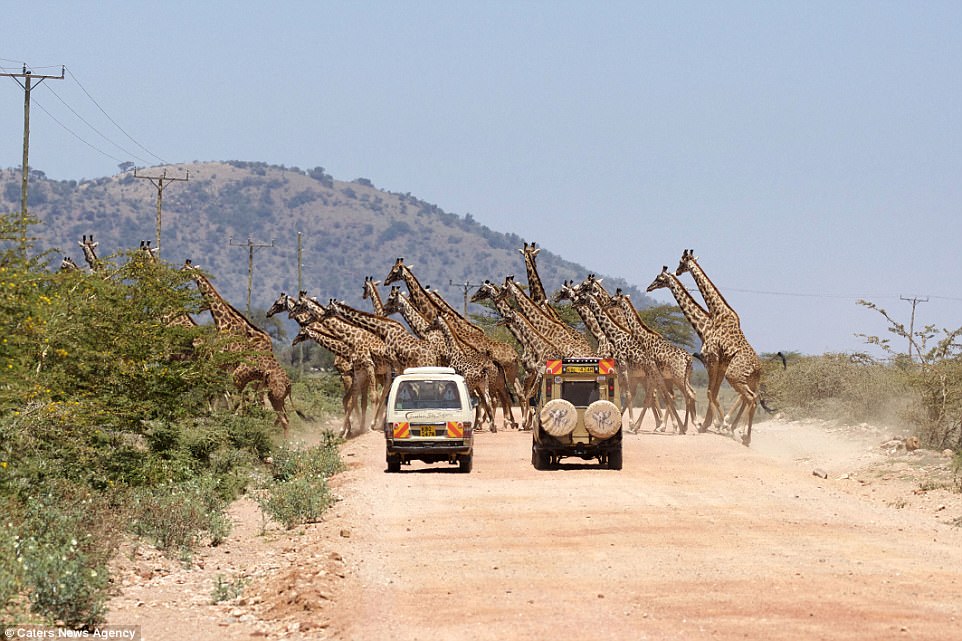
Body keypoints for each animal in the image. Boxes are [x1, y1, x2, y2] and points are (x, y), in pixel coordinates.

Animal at [182, 260, 290, 436]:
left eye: (184, 269)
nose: (198, 308)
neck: (224, 324)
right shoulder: (224, 363)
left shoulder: (222, 360)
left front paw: (216, 411)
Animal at [672, 250, 760, 444]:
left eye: (681, 261)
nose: (677, 271)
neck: (717, 312)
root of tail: (758, 367)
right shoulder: (717, 363)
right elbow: (712, 392)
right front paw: (711, 424)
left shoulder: (712, 360)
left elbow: (710, 392)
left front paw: (713, 425)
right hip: (748, 379)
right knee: (753, 398)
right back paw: (742, 434)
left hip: (734, 376)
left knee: (750, 397)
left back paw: (740, 433)